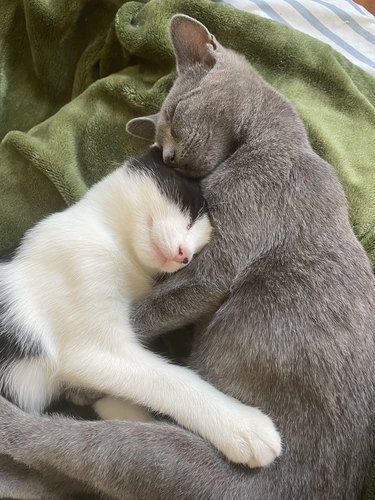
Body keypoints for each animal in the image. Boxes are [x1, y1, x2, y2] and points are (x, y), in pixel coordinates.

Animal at [0, 14, 375, 500]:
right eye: (159, 137)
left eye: (175, 116)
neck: (275, 142)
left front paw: (86, 383)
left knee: (49, 439)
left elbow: (148, 313)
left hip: (154, 456)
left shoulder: (225, 250)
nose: (169, 155)